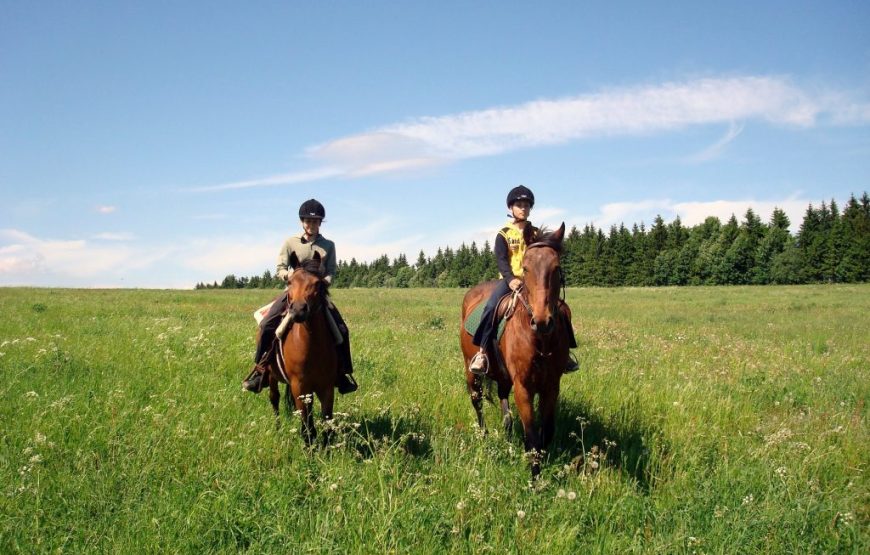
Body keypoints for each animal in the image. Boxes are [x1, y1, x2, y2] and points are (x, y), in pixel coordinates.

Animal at [262, 252, 338, 448]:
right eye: (289, 282)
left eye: (317, 283)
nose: (297, 310)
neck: (312, 345)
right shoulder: (300, 387)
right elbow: (306, 423)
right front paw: (309, 447)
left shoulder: (326, 387)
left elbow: (327, 420)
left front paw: (327, 448)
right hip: (272, 376)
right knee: (274, 398)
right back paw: (278, 429)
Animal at [460, 222, 576, 478]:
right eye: (526, 267)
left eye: (556, 268)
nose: (542, 321)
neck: (540, 340)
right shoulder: (523, 387)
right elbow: (532, 437)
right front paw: (535, 480)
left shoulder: (551, 385)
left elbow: (547, 432)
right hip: (471, 372)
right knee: (477, 401)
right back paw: (483, 435)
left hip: (504, 375)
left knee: (502, 396)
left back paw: (507, 427)